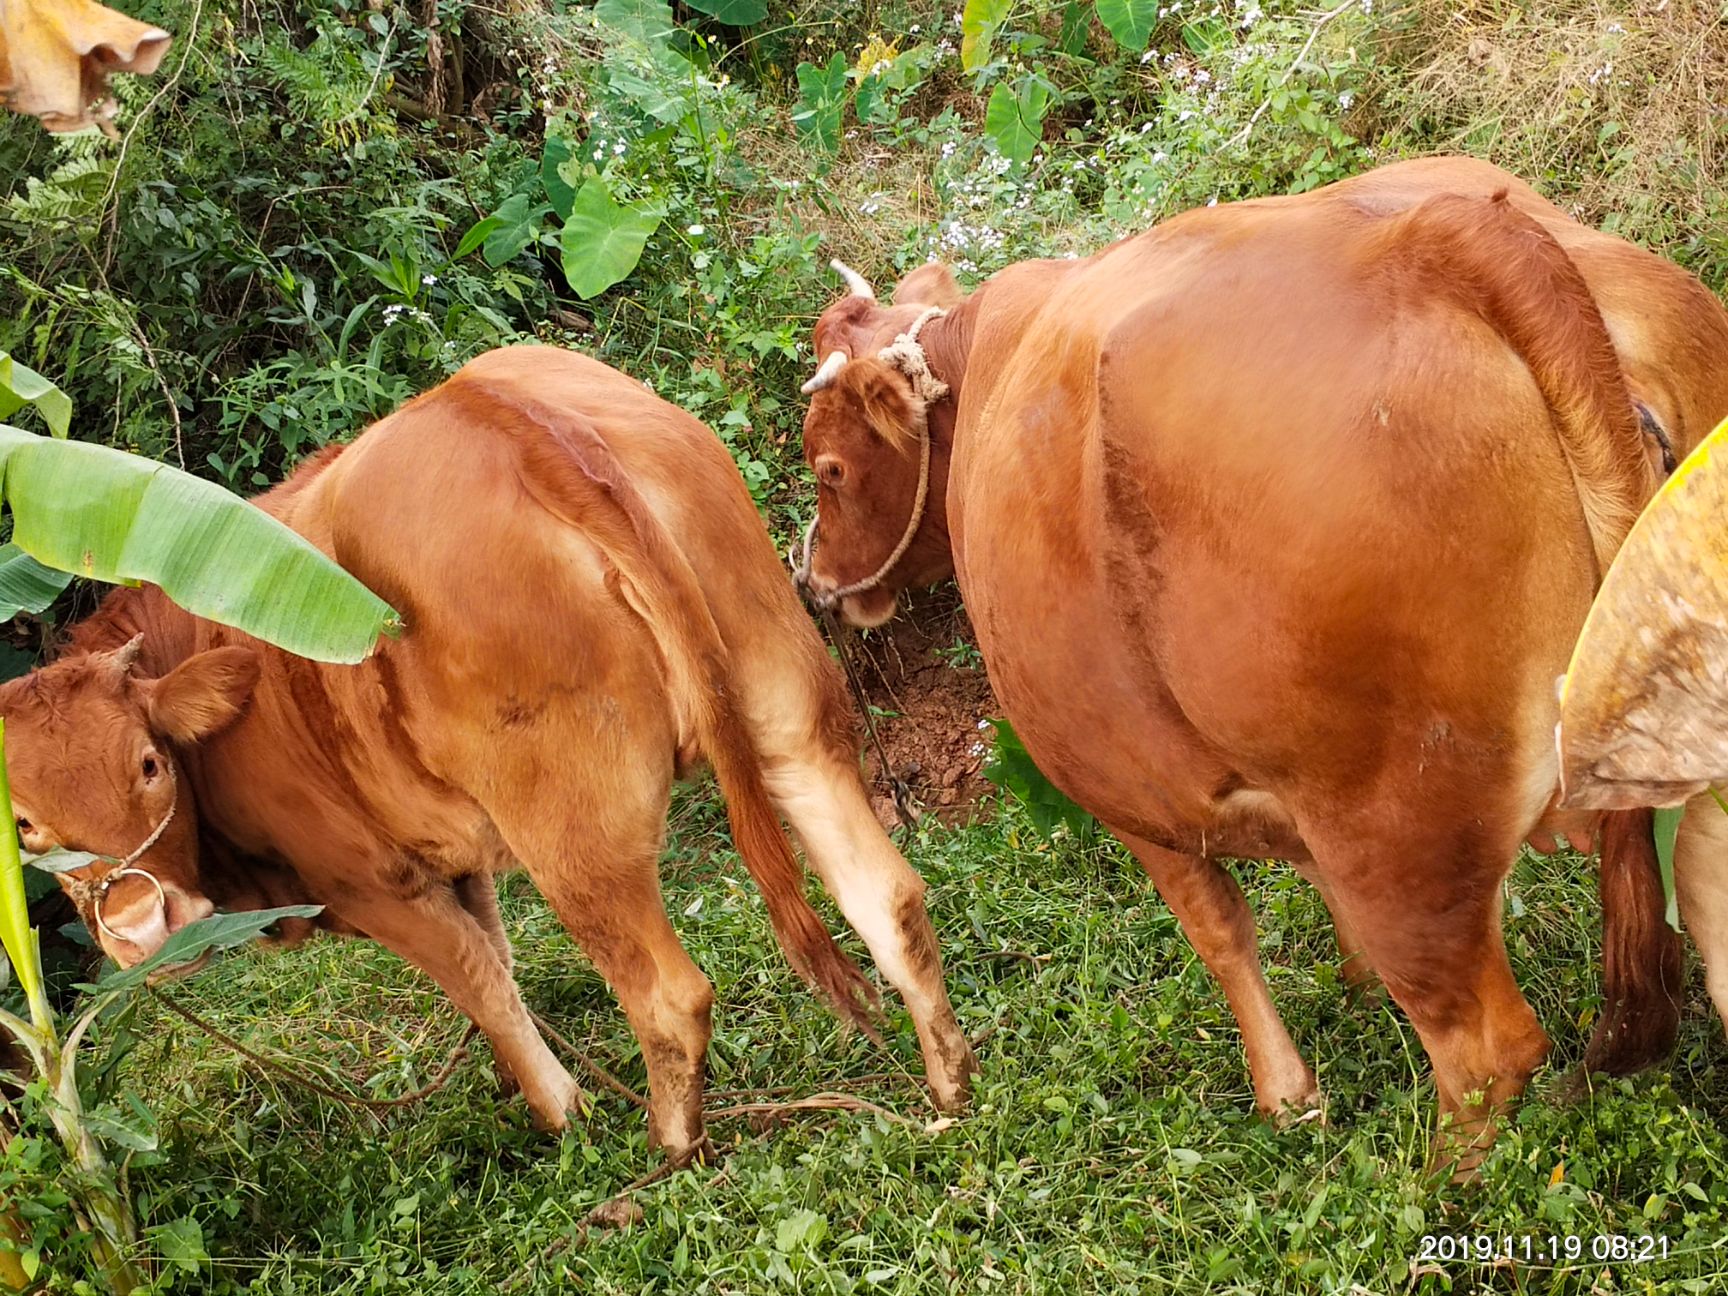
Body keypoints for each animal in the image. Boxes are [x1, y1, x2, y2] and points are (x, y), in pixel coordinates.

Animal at [0, 347, 974, 1168]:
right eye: (26, 824)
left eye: (148, 765)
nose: (138, 928)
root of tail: (511, 420)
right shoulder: (452, 855)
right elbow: (499, 960)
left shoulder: (373, 883)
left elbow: (481, 988)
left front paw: (559, 1111)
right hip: (788, 715)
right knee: (888, 896)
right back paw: (950, 1082)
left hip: (574, 842)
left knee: (670, 997)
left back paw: (668, 1152)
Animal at [791, 157, 1728, 1175]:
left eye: (828, 466)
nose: (814, 578)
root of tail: (1436, 242)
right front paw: (1356, 993)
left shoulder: (1134, 793)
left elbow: (1220, 931)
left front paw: (1288, 1096)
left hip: (1393, 825)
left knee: (1488, 1050)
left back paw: (1428, 1185)